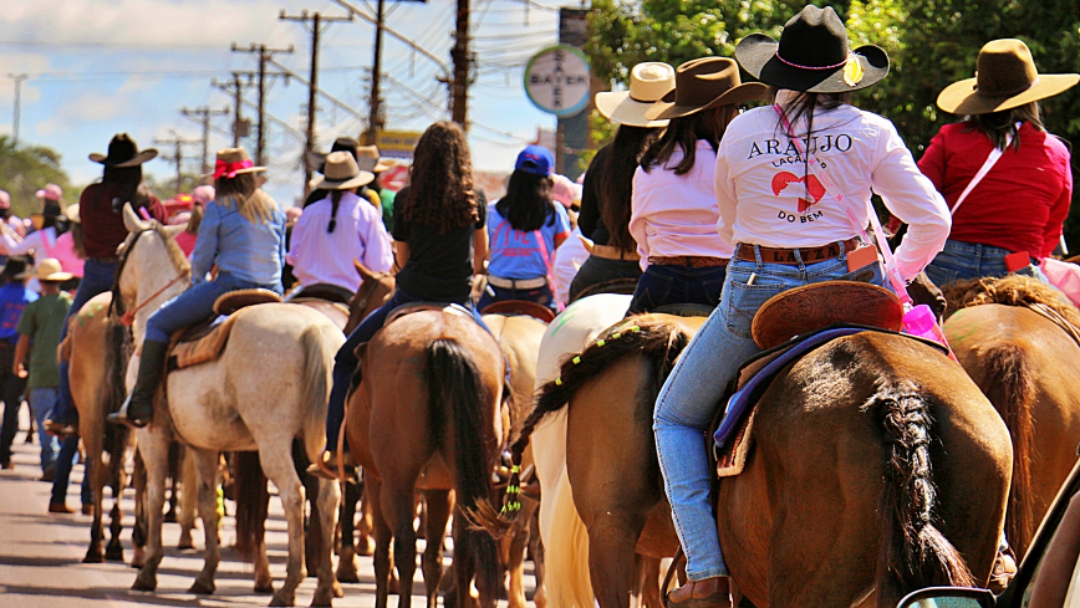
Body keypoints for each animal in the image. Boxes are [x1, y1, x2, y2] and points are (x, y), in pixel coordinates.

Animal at [117, 207, 341, 604]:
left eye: (117, 253)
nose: (117, 308)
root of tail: (315, 330)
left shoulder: (152, 436)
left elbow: (156, 495)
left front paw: (148, 569)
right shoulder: (203, 444)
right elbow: (208, 502)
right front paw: (206, 575)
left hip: (273, 442)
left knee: (293, 494)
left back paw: (288, 587)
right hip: (314, 444)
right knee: (327, 497)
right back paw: (323, 591)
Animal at [349, 308, 509, 608]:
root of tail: (441, 339)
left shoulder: (375, 480)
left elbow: (383, 552)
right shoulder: (440, 489)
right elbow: (434, 558)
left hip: (397, 480)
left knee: (404, 546)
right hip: (467, 482)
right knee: (464, 547)